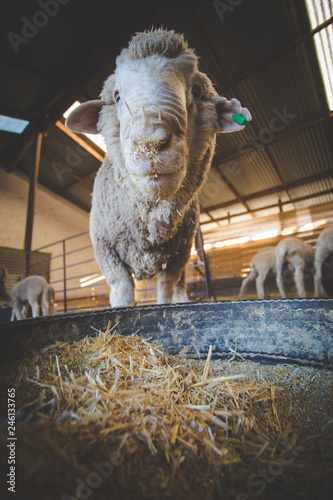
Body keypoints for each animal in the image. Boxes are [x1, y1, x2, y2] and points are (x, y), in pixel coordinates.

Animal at [66, 30, 250, 308]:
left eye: (197, 91)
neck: (149, 227)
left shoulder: (177, 257)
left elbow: (165, 289)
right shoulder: (106, 251)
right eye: (117, 96)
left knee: (181, 285)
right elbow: (122, 289)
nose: (150, 142)